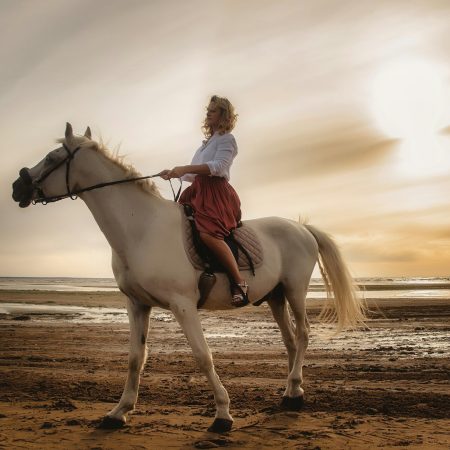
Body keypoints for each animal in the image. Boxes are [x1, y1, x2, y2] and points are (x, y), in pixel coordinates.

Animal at [11, 123, 366, 432]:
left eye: (53, 158)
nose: (17, 188)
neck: (142, 229)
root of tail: (301, 227)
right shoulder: (136, 304)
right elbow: (135, 358)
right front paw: (119, 412)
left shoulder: (183, 306)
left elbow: (203, 356)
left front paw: (223, 414)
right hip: (275, 296)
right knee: (290, 341)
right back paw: (293, 391)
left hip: (294, 290)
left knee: (303, 334)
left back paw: (293, 394)